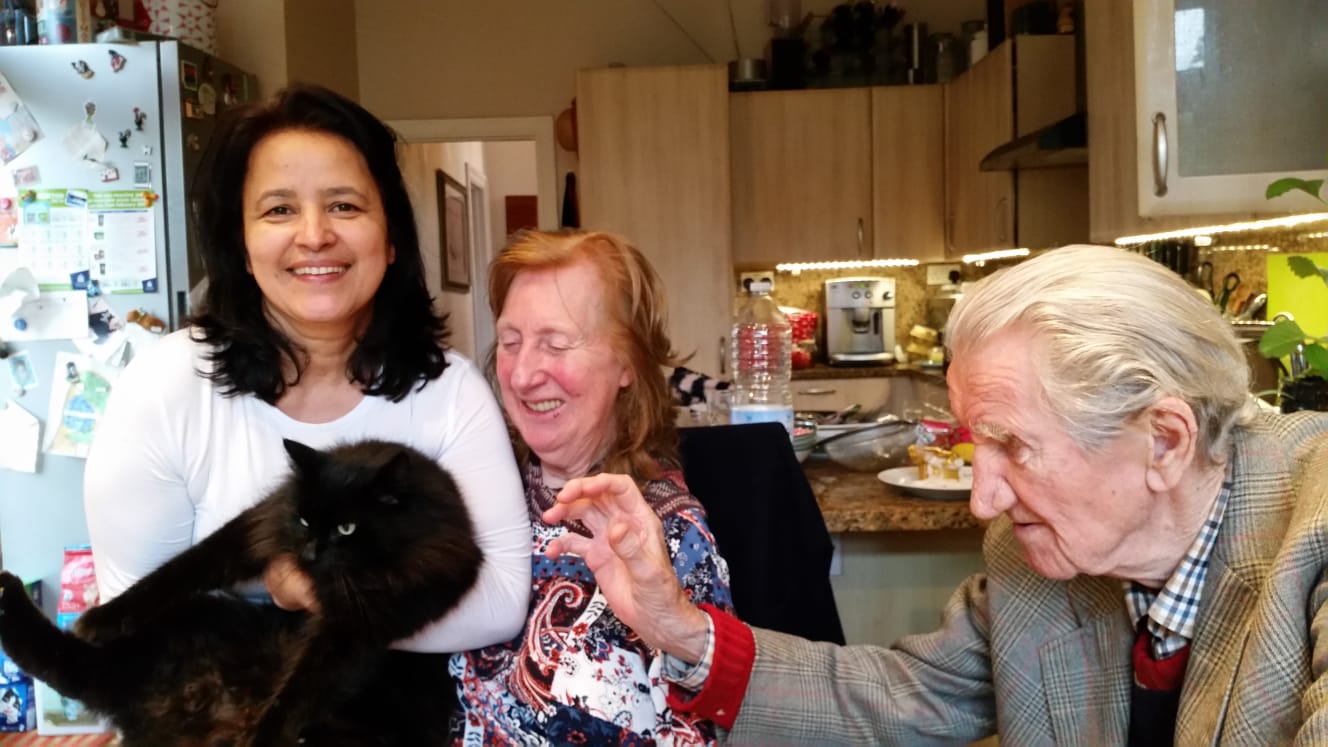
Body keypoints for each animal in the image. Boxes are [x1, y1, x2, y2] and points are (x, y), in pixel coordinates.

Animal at [0, 438, 483, 746]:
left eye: (347, 528)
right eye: (304, 520)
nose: (311, 550)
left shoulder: (356, 629)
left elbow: (299, 689)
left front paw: (261, 737)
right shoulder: (251, 533)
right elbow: (176, 571)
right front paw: (106, 616)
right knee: (70, 665)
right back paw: (8, 594)